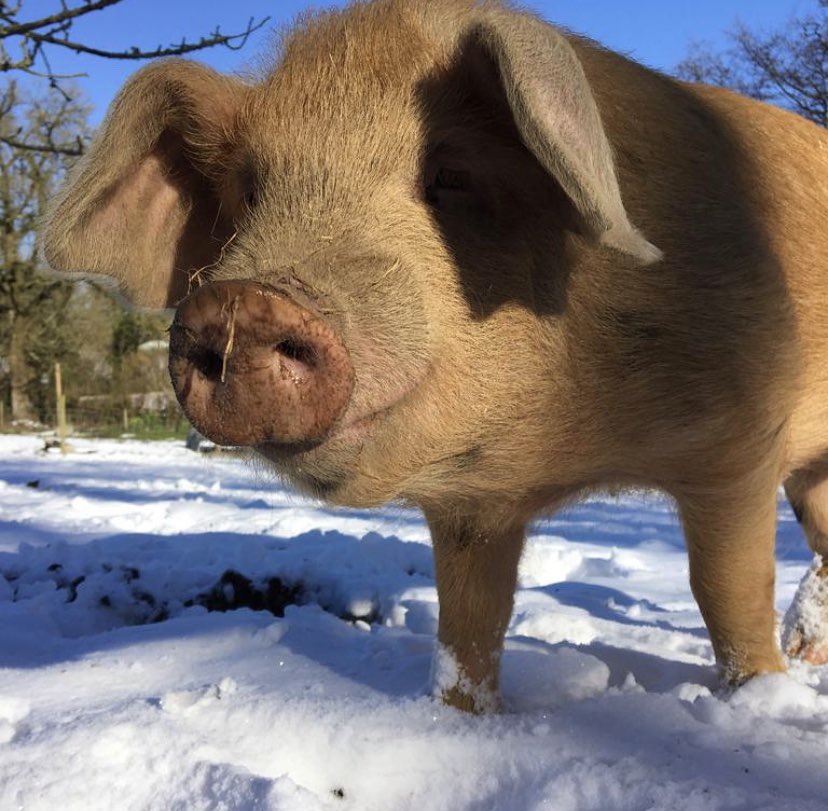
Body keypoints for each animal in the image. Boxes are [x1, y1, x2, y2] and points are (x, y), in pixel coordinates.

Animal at [43, 0, 828, 713]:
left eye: (448, 174)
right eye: (251, 191)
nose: (243, 302)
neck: (566, 447)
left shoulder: (741, 442)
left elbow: (726, 588)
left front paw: (756, 697)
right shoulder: (471, 510)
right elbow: (470, 622)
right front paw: (461, 716)